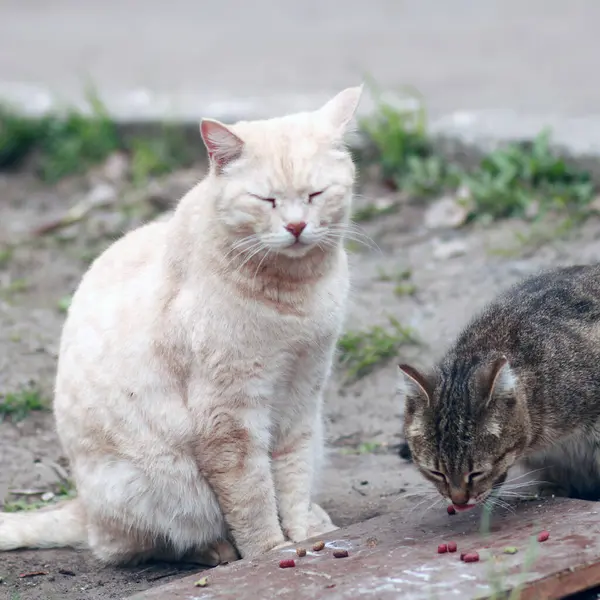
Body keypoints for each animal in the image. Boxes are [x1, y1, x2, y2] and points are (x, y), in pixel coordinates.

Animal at [0, 86, 364, 564]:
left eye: (316, 194)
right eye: (266, 200)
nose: (297, 225)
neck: (293, 295)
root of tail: (84, 506)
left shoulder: (303, 396)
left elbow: (292, 479)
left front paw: (302, 533)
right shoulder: (228, 416)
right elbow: (252, 495)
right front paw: (270, 549)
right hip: (149, 484)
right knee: (131, 545)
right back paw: (214, 549)